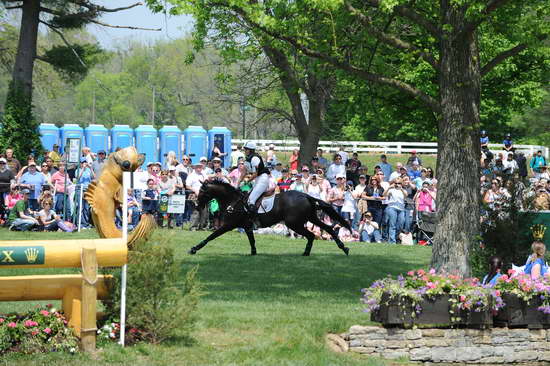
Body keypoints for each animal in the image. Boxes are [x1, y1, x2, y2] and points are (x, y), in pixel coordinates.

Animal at [190, 181, 352, 256]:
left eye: (202, 192)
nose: (197, 206)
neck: (233, 201)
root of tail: (306, 195)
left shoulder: (229, 225)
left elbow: (212, 236)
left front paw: (194, 249)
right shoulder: (247, 227)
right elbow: (252, 240)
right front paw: (253, 253)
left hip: (294, 223)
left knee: (311, 234)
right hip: (311, 218)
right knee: (327, 229)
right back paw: (342, 248)